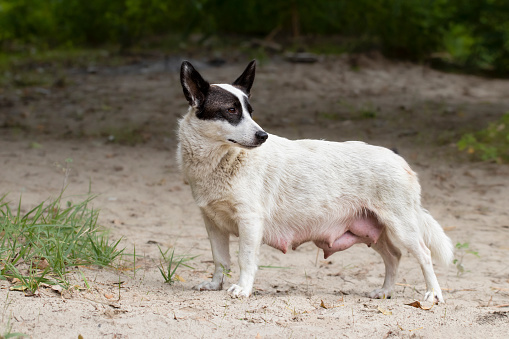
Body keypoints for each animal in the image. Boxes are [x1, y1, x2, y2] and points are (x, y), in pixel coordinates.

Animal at [176, 59, 452, 302]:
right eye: (231, 110)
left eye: (251, 112)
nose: (263, 135)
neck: (222, 161)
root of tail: (400, 161)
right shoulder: (213, 223)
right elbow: (220, 259)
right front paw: (215, 285)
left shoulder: (249, 221)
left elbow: (245, 259)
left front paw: (243, 289)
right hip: (371, 231)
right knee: (394, 256)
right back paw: (385, 291)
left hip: (402, 227)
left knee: (424, 254)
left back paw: (433, 294)